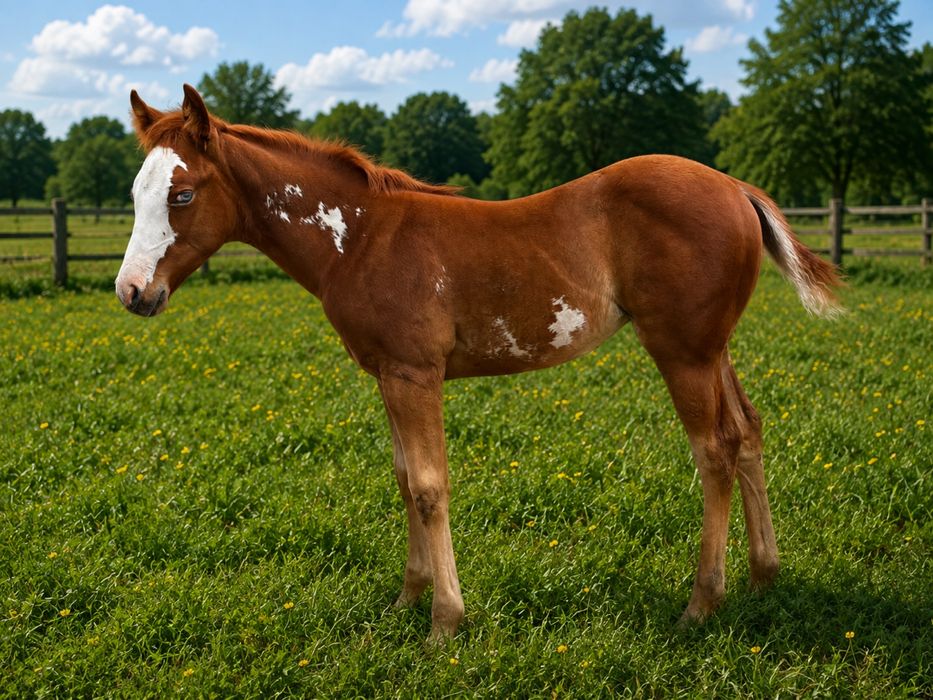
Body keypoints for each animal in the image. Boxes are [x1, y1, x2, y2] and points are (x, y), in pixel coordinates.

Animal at [116, 85, 842, 642]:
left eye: (182, 196)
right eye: (135, 194)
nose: (131, 292)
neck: (360, 237)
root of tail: (734, 187)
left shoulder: (415, 375)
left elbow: (430, 487)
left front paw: (444, 622)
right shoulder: (388, 376)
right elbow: (403, 480)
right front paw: (404, 602)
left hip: (682, 351)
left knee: (714, 451)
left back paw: (701, 604)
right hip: (713, 348)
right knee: (747, 432)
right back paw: (763, 577)